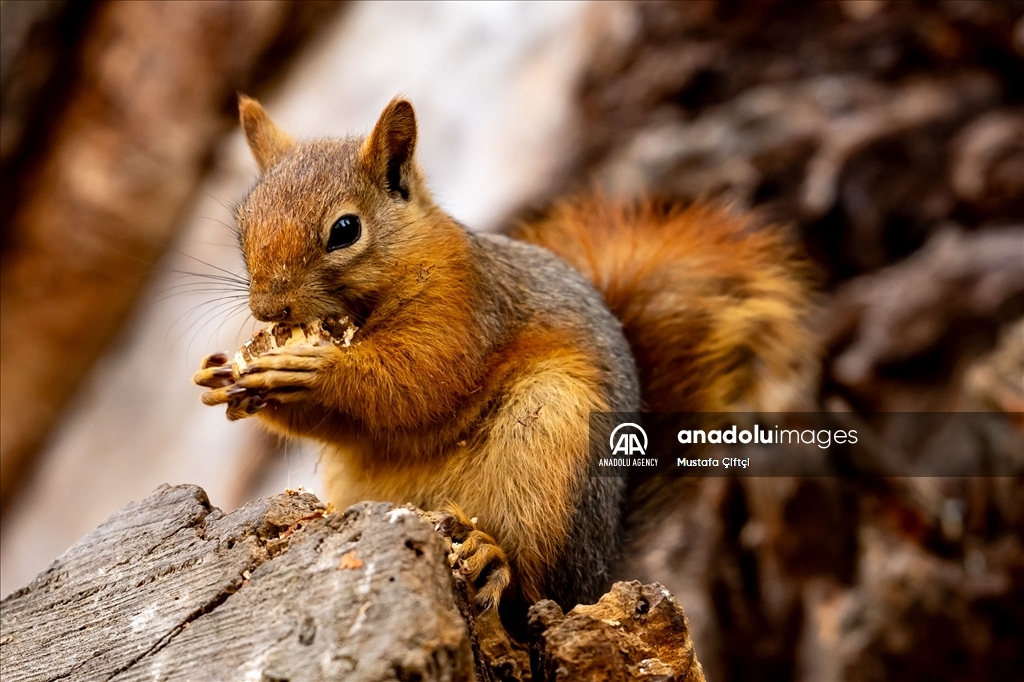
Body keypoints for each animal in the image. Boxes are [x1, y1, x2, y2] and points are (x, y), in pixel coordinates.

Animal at [192, 94, 815, 622]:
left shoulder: (466, 307)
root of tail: (600, 568)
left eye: (345, 229)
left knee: (535, 583)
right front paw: (221, 377)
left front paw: (314, 369)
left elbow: (419, 380)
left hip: (547, 451)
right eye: (243, 226)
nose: (268, 308)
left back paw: (494, 557)